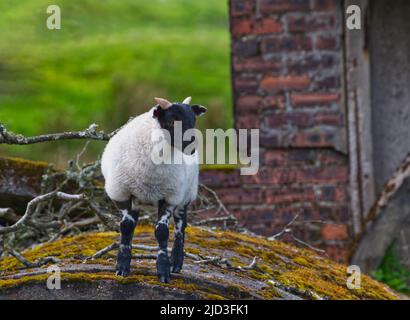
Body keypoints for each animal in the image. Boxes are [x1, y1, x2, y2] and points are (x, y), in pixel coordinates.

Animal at [101, 95, 207, 282]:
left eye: (193, 121)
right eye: (171, 121)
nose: (191, 146)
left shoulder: (170, 197)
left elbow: (162, 232)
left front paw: (163, 270)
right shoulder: (121, 193)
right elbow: (126, 227)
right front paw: (122, 267)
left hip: (185, 195)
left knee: (180, 228)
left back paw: (176, 263)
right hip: (136, 199)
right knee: (133, 225)